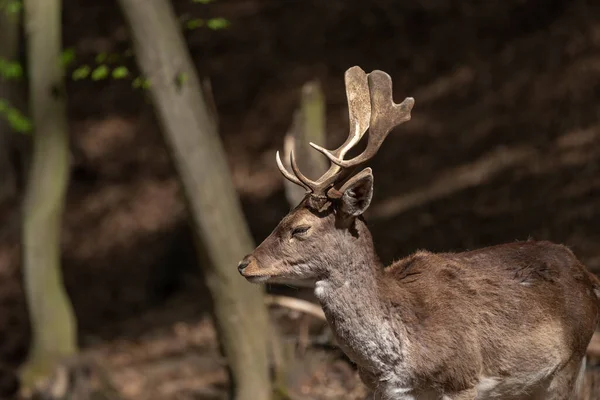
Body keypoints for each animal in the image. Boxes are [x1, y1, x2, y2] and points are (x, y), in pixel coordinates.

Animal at [237, 66, 596, 400]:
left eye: (300, 228)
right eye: (282, 218)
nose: (244, 264)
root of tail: (587, 273)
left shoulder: (464, 379)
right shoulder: (386, 391)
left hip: (570, 363)